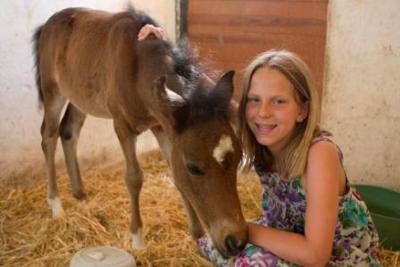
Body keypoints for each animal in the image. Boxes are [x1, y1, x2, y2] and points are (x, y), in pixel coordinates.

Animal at [33, 6, 247, 258]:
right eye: (194, 167)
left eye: (238, 160)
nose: (236, 241)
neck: (138, 68)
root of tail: (47, 24)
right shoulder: (123, 125)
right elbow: (134, 177)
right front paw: (137, 240)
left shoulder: (162, 127)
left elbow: (175, 176)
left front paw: (198, 238)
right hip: (53, 91)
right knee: (48, 136)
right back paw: (56, 206)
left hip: (80, 97)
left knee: (68, 132)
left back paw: (82, 197)